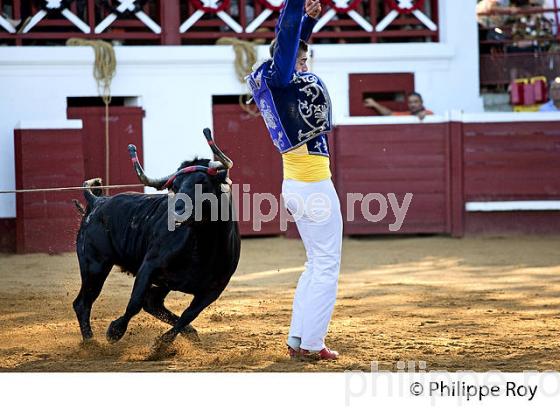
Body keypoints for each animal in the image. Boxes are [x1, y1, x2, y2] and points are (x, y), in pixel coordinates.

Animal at [72, 130, 241, 348]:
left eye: (202, 183)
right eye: (175, 187)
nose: (176, 211)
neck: (204, 246)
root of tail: (97, 201)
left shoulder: (213, 290)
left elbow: (188, 314)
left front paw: (163, 344)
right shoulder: (149, 266)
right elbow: (135, 302)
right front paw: (115, 331)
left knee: (152, 302)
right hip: (95, 266)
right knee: (83, 303)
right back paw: (91, 343)